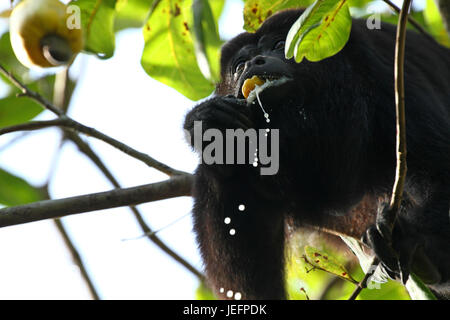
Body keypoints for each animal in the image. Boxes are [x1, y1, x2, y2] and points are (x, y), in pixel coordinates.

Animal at [183, 10, 450, 300]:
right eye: (239, 65)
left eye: (280, 45)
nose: (253, 62)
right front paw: (206, 119)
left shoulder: (385, 71)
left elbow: (434, 165)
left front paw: (410, 237)